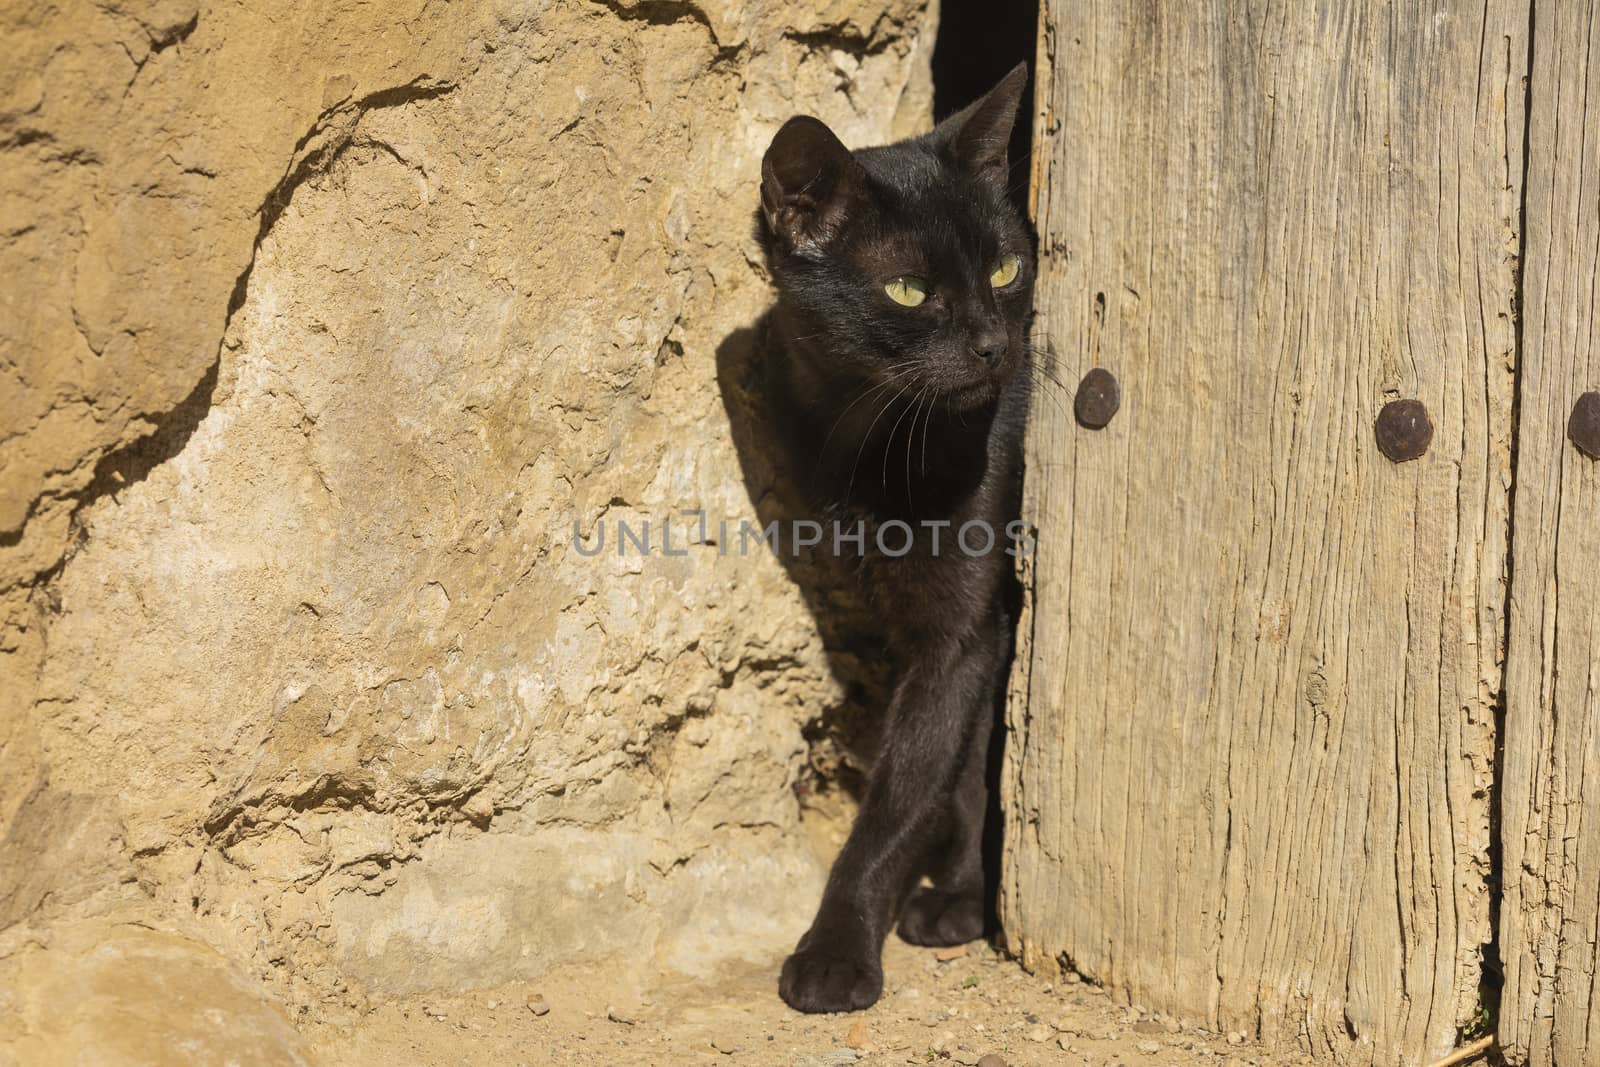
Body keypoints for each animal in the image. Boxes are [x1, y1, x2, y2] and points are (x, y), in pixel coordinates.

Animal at [758, 62, 1036, 1017]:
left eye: (1006, 267)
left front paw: (840, 948)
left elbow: (913, 790)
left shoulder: (968, 630)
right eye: (910, 290)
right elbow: (947, 771)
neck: (878, 447)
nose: (994, 344)